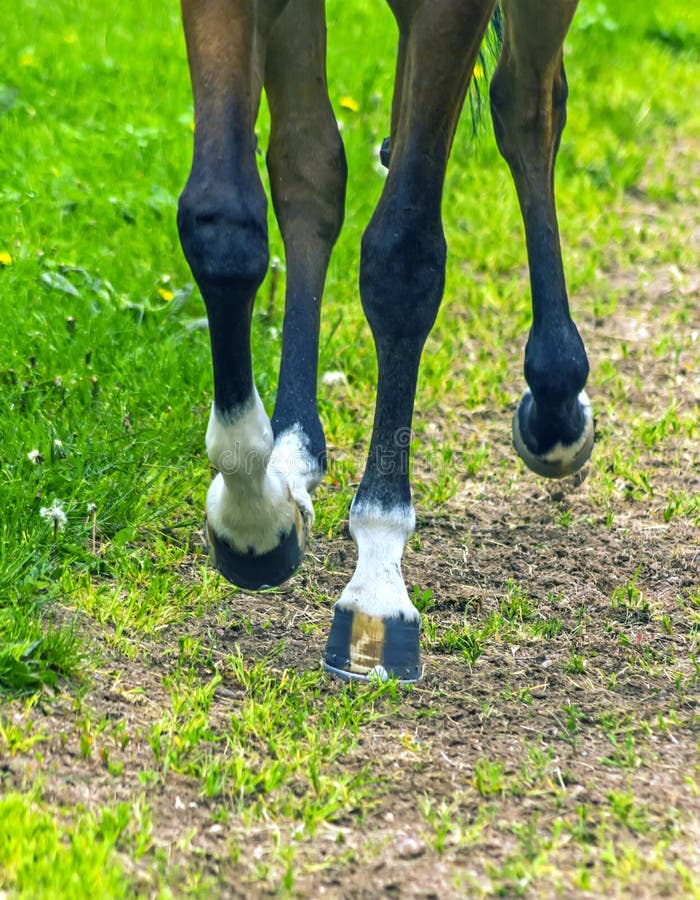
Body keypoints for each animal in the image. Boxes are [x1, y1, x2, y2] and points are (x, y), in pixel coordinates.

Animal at [176, 0, 594, 684]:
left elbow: (403, 257)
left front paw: (376, 579)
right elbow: (225, 221)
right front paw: (254, 513)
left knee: (527, 107)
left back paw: (557, 399)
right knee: (309, 166)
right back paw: (293, 449)